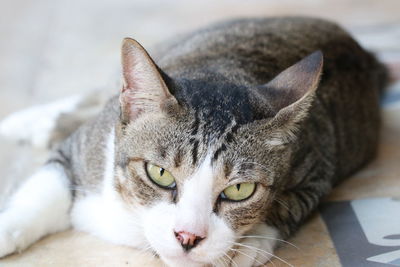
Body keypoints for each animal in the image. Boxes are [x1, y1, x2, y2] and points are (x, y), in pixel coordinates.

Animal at [0, 17, 390, 267]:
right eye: (159, 174)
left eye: (239, 190)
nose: (187, 237)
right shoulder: (86, 146)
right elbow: (48, 185)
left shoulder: (317, 160)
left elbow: (291, 203)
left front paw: (248, 245)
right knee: (92, 95)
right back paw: (27, 121)